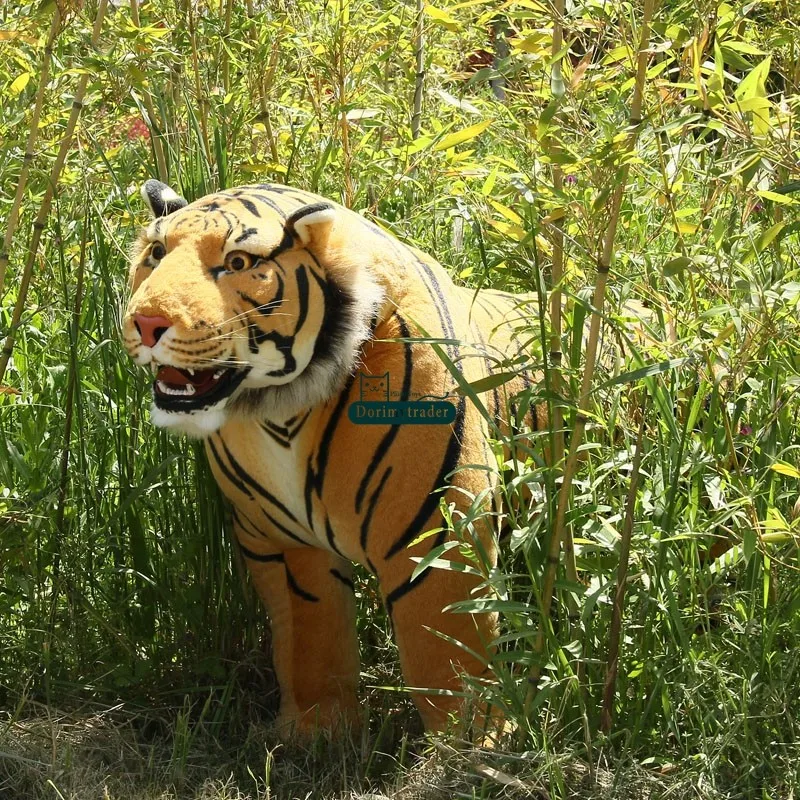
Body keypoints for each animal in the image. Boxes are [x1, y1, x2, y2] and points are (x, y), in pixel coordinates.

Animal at [122, 179, 542, 736]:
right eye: (156, 253)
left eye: (236, 262)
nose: (146, 322)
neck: (279, 412)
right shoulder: (285, 543)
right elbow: (313, 637)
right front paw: (315, 730)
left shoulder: (437, 533)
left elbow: (447, 653)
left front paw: (475, 740)